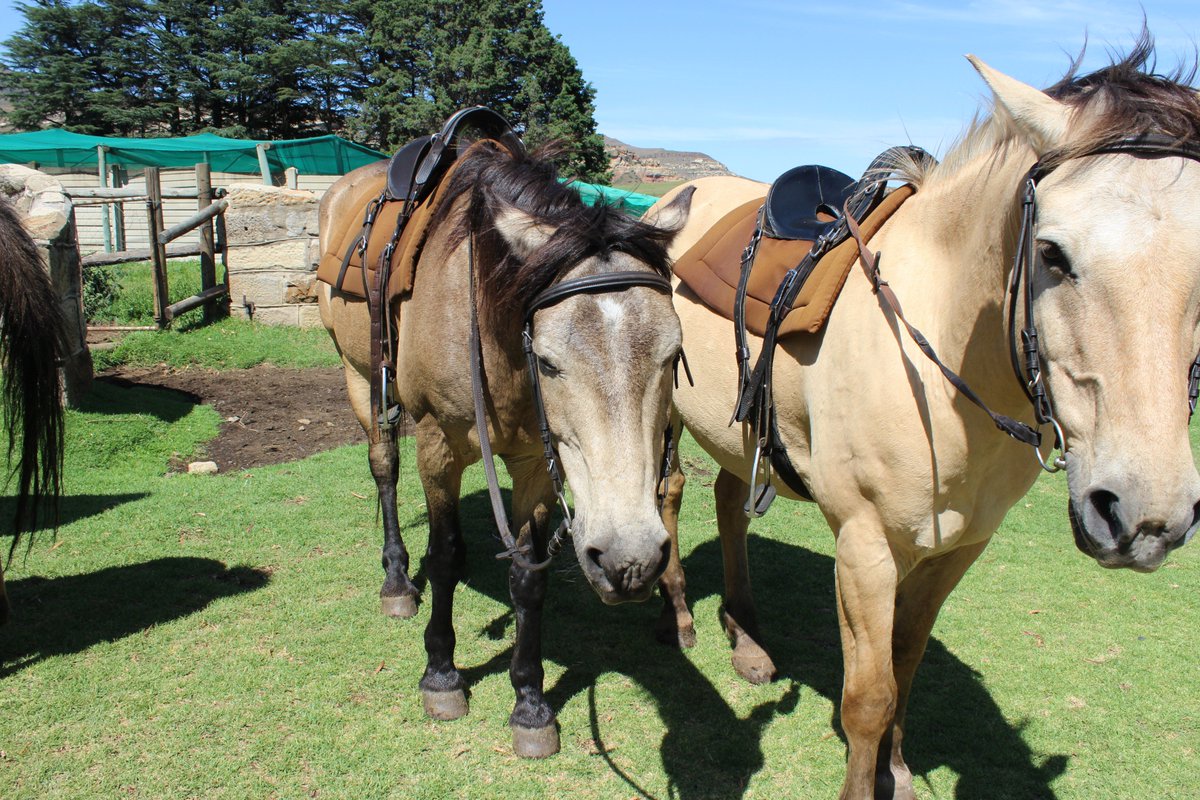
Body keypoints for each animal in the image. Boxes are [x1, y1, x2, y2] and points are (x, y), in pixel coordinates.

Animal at [318, 136, 693, 756]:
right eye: (547, 360)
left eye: (672, 354)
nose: (631, 560)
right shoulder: (437, 444)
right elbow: (445, 556)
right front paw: (441, 674)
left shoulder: (534, 463)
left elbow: (528, 578)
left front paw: (530, 703)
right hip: (358, 374)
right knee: (383, 465)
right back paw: (396, 580)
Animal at [652, 39, 1200, 799]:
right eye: (1052, 253)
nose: (1143, 516)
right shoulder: (865, 548)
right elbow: (869, 695)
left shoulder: (957, 549)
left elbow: (905, 663)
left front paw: (898, 770)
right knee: (669, 495)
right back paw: (678, 617)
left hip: (741, 432)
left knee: (730, 502)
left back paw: (749, 640)